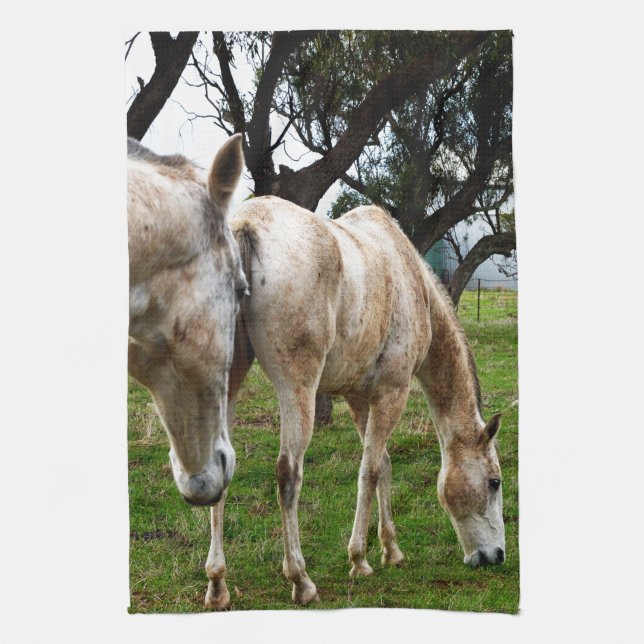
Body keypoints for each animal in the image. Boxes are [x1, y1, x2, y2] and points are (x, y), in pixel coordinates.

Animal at [205, 195, 506, 609]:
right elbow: (371, 471)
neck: (413, 283)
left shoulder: (360, 400)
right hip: (298, 389)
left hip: (228, 383)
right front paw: (360, 559)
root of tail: (246, 223)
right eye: (494, 482)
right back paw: (301, 579)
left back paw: (217, 584)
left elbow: (384, 464)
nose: (497, 556)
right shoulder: (391, 393)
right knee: (288, 474)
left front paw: (391, 550)